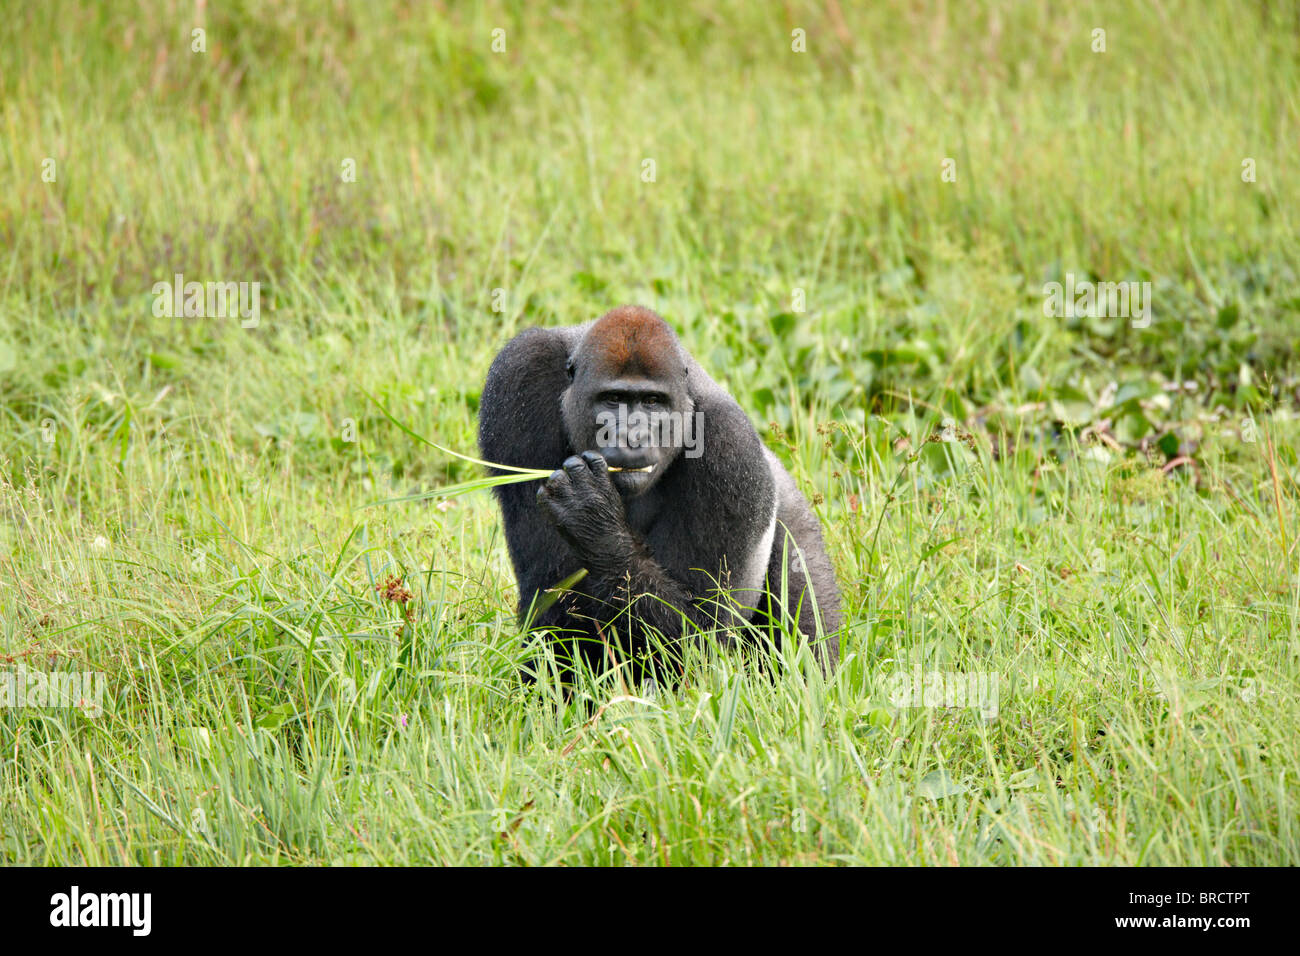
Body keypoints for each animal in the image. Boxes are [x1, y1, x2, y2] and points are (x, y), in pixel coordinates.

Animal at [480, 303, 842, 686]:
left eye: (653, 402)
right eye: (614, 399)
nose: (632, 437)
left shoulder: (730, 446)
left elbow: (701, 642)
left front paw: (594, 523)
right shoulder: (520, 372)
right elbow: (548, 582)